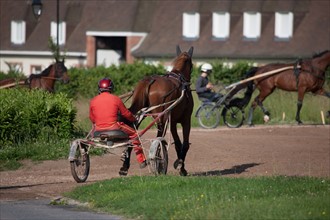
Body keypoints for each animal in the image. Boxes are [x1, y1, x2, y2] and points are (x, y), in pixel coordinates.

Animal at [120, 45, 193, 176]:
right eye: (192, 65)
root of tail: (150, 81)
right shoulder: (185, 119)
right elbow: (184, 144)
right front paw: (181, 167)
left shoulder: (172, 121)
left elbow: (178, 143)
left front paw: (180, 165)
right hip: (161, 117)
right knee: (158, 138)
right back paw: (159, 161)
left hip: (140, 112)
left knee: (133, 131)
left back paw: (125, 166)